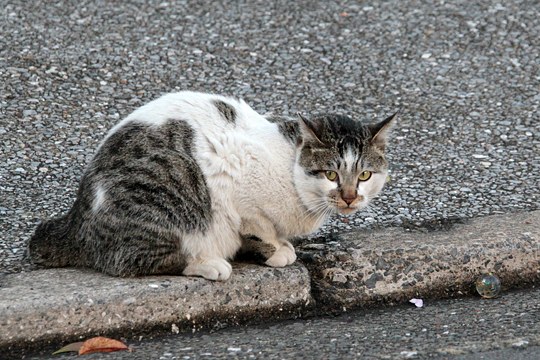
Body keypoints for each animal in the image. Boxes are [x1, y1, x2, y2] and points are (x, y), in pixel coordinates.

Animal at [28, 90, 396, 282]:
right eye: (331, 174)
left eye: (364, 175)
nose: (349, 198)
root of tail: (76, 218)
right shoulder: (239, 185)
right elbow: (260, 228)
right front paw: (277, 250)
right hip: (170, 195)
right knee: (133, 261)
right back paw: (208, 264)